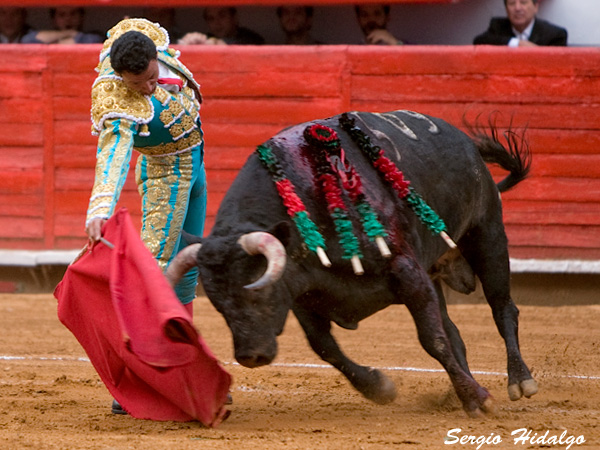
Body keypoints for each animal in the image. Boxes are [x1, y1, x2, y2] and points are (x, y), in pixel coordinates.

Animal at [166, 110, 536, 416]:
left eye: (258, 292)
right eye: (217, 305)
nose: (249, 357)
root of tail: (467, 146)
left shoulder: (406, 272)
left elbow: (432, 340)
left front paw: (478, 400)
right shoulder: (302, 293)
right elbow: (325, 348)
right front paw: (379, 388)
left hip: (487, 235)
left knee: (503, 308)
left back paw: (519, 381)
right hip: (434, 270)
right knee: (455, 331)